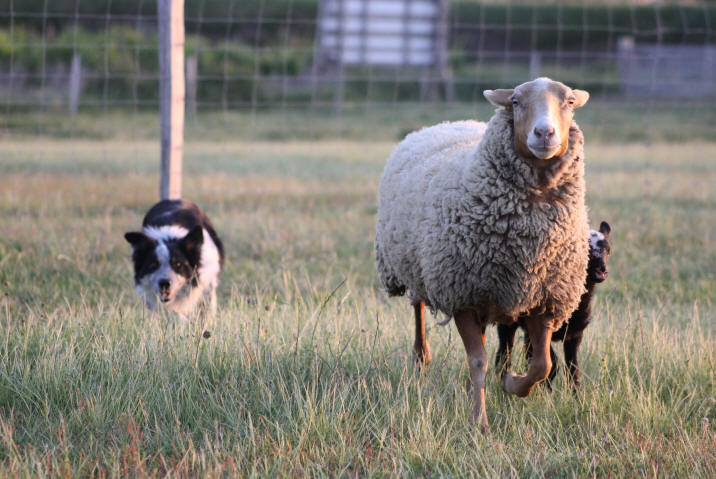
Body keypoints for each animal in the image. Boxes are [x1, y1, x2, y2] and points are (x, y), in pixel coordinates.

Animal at [374, 79, 592, 432]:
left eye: (569, 102)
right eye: (516, 101)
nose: (544, 133)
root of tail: (443, 124)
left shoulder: (545, 298)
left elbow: (542, 364)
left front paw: (512, 383)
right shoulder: (461, 293)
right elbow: (478, 361)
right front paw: (480, 421)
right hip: (415, 265)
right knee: (418, 308)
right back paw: (421, 358)